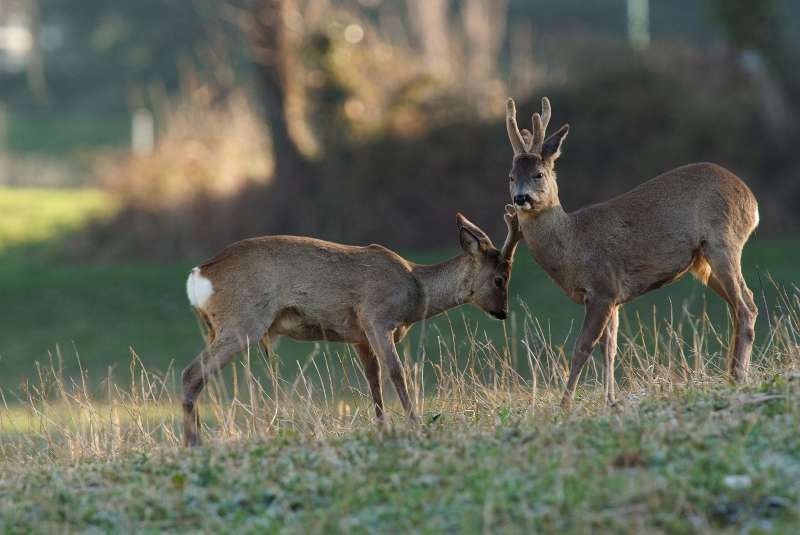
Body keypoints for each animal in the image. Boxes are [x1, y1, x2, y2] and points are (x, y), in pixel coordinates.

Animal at [180, 211, 520, 446]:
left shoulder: (359, 335)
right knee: (192, 372)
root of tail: (199, 274)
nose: (503, 313)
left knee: (197, 376)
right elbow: (396, 372)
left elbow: (373, 380)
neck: (417, 291)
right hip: (243, 321)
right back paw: (194, 444)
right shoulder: (375, 316)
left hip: (215, 327)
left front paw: (383, 427)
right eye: (499, 279)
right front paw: (415, 424)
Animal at [504, 96, 760, 406]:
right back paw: (732, 373)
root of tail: (752, 201)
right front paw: (609, 400)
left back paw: (738, 377)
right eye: (511, 176)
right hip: (703, 263)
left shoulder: (603, 287)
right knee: (741, 304)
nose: (521, 198)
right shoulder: (614, 298)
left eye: (538, 174)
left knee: (745, 307)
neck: (572, 245)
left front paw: (565, 404)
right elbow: (610, 349)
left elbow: (583, 348)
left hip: (723, 241)